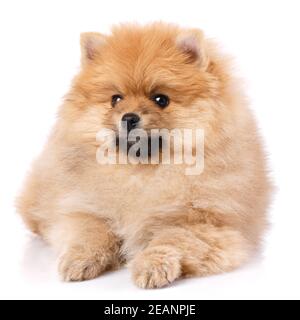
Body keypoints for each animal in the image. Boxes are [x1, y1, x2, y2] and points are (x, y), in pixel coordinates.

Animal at [16, 22, 272, 288]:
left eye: (161, 99)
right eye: (115, 99)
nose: (129, 117)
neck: (140, 172)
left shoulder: (207, 225)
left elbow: (171, 239)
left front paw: (152, 266)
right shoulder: (82, 208)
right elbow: (90, 232)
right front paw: (80, 260)